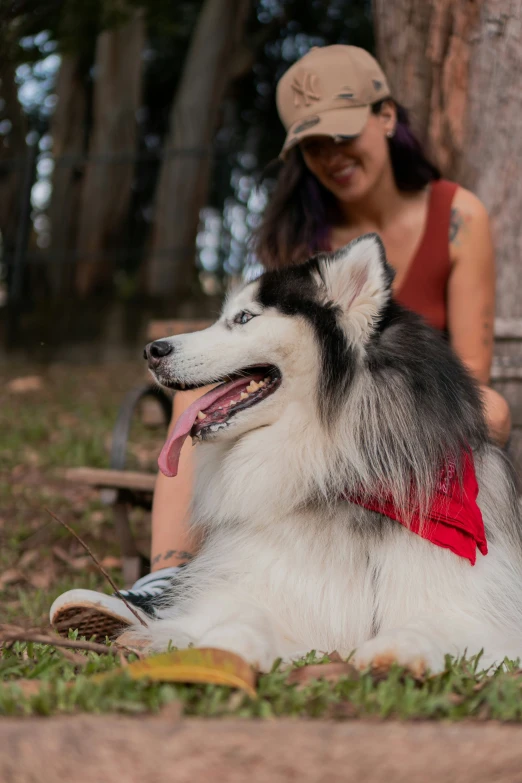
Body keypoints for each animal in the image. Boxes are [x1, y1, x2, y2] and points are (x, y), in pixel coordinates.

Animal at [131, 234, 522, 672]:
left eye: (245, 317)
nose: (152, 350)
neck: (347, 477)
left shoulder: (472, 606)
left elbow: (429, 624)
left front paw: (400, 652)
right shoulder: (261, 586)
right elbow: (245, 615)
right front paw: (224, 649)